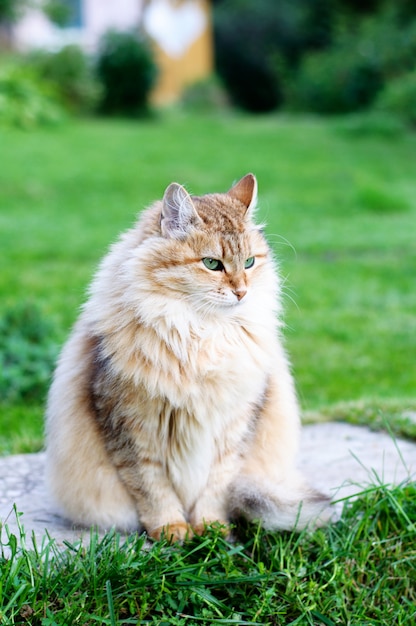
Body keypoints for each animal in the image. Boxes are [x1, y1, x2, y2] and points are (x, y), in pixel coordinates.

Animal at [45, 173, 332, 540]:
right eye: (212, 264)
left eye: (250, 262)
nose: (242, 292)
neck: (201, 333)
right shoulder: (132, 428)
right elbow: (153, 488)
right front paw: (172, 529)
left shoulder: (234, 427)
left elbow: (216, 487)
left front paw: (211, 528)